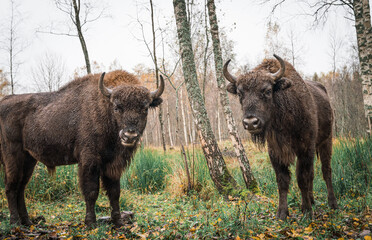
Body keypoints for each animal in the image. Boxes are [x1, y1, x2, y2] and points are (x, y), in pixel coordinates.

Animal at [0, 70, 163, 227]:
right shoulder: (89, 161)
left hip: (29, 160)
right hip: (12, 156)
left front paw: (118, 222)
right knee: (11, 187)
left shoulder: (112, 165)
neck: (105, 109)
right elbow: (91, 191)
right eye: (117, 107)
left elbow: (114, 192)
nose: (129, 135)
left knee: (21, 188)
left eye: (145, 108)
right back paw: (15, 223)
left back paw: (27, 222)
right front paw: (91, 223)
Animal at [222, 54, 338, 219]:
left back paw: (332, 203)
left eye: (267, 90)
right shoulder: (276, 152)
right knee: (313, 174)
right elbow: (283, 180)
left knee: (326, 170)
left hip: (326, 141)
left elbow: (302, 178)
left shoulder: (305, 149)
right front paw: (282, 214)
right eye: (239, 93)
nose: (251, 122)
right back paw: (312, 200)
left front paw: (307, 211)